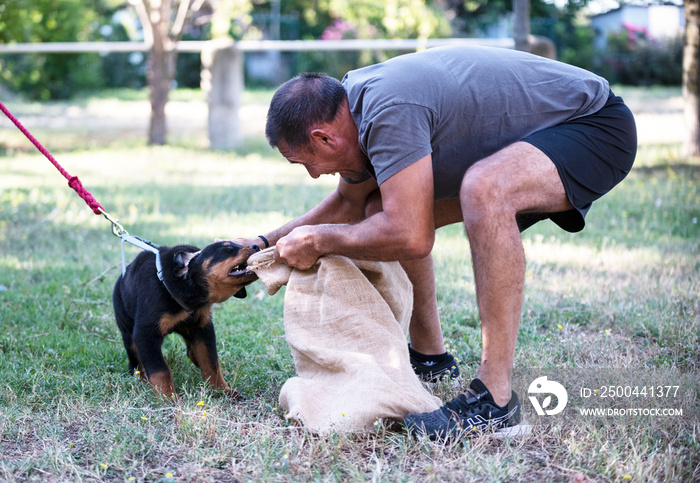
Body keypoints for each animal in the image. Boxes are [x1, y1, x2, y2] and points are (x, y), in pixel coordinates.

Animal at [113, 240, 258, 398]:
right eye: (228, 248)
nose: (256, 246)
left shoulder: (203, 327)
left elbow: (211, 361)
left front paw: (221, 390)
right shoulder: (145, 333)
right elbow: (160, 370)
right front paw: (168, 398)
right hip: (127, 332)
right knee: (135, 362)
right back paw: (142, 378)